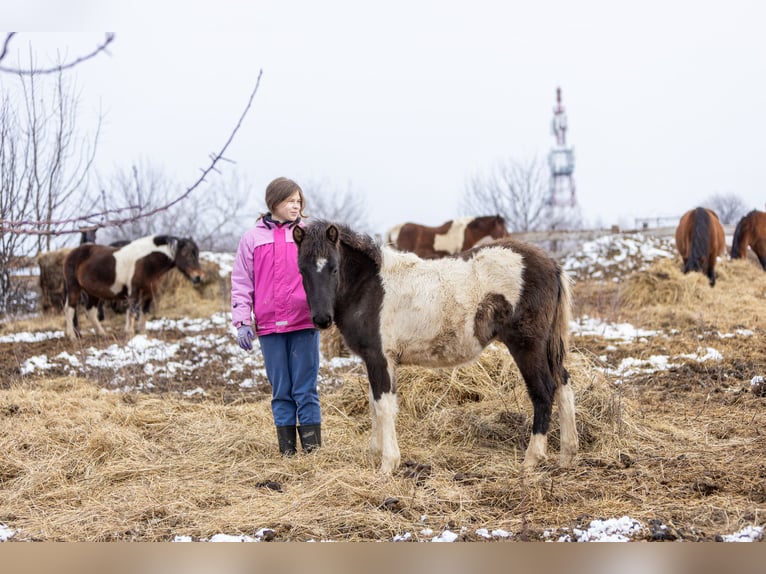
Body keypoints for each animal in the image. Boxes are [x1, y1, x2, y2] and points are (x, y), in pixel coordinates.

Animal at [63, 235, 204, 340]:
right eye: (186, 254)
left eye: (197, 254)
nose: (198, 277)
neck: (146, 262)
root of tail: (72, 253)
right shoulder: (133, 291)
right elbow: (131, 312)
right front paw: (129, 333)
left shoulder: (148, 293)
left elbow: (144, 312)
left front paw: (142, 333)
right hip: (74, 287)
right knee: (70, 310)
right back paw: (72, 337)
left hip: (93, 293)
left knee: (91, 312)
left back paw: (102, 334)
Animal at [292, 218, 576, 474]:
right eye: (302, 270)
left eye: (334, 268)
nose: (322, 319)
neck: (370, 288)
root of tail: (551, 264)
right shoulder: (378, 360)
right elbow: (375, 405)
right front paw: (375, 455)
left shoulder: (379, 357)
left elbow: (384, 407)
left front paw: (387, 465)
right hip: (546, 346)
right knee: (563, 382)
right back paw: (567, 455)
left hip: (527, 345)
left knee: (544, 390)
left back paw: (531, 460)